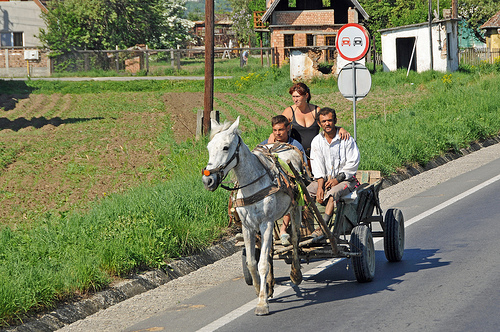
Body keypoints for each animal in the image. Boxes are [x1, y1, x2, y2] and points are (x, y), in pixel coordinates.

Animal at [201, 117, 302, 316]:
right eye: (209, 147)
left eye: (225, 147)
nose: (208, 180)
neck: (253, 183)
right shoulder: (247, 227)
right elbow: (251, 262)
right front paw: (260, 290)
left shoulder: (266, 223)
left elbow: (262, 263)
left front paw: (262, 303)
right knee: (270, 249)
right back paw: (270, 283)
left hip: (294, 208)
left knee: (295, 239)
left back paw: (296, 273)